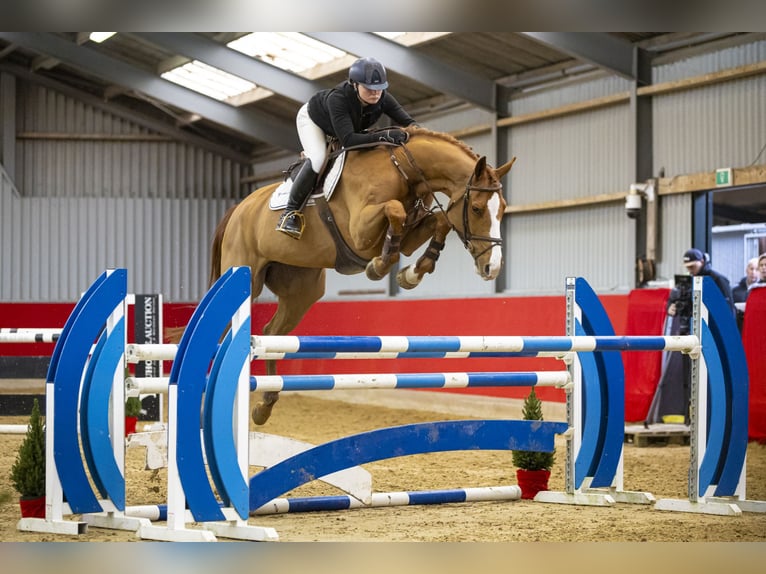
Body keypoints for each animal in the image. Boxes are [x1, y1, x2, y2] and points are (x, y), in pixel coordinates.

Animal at [210, 126, 516, 426]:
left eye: (502, 208)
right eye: (476, 208)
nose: (493, 268)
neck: (403, 169)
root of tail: (238, 208)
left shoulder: (409, 234)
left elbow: (438, 220)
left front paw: (411, 274)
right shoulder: (360, 233)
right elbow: (394, 209)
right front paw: (379, 266)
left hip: (302, 291)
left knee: (272, 333)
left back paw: (265, 405)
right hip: (247, 274)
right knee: (227, 328)